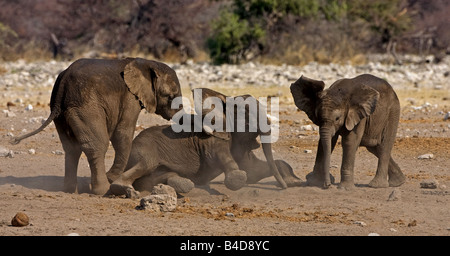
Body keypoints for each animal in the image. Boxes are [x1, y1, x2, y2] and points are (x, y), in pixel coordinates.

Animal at [11, 58, 183, 194]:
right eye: (171, 96)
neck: (146, 63)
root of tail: (63, 83)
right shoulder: (130, 98)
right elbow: (123, 133)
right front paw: (112, 178)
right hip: (87, 108)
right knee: (98, 145)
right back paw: (102, 190)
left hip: (62, 111)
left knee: (72, 148)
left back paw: (71, 190)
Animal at [108, 88, 302, 198]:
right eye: (245, 113)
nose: (282, 188)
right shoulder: (212, 139)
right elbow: (231, 166)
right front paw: (238, 178)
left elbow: (253, 169)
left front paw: (293, 180)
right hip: (143, 150)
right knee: (146, 164)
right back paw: (124, 188)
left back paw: (181, 183)